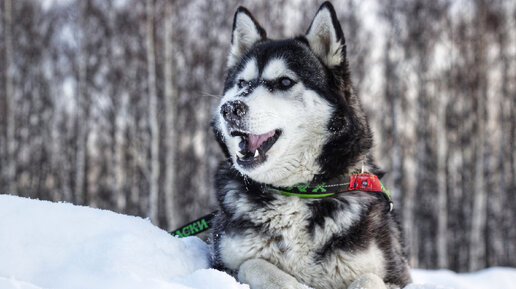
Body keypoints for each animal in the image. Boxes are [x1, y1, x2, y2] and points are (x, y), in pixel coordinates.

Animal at [210, 2, 412, 288]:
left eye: (284, 81)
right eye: (242, 83)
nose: (229, 108)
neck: (298, 191)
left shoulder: (396, 275)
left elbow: (369, 278)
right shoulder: (220, 263)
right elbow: (255, 264)